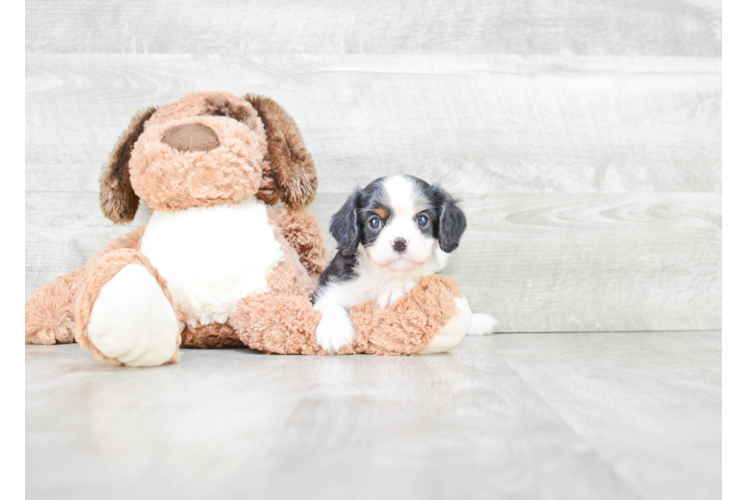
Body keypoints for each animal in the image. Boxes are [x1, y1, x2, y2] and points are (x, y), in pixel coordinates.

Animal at [312, 174, 496, 354]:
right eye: (374, 222)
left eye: (422, 220)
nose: (399, 242)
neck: (384, 273)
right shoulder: (332, 287)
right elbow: (329, 304)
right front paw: (334, 329)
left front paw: (396, 287)